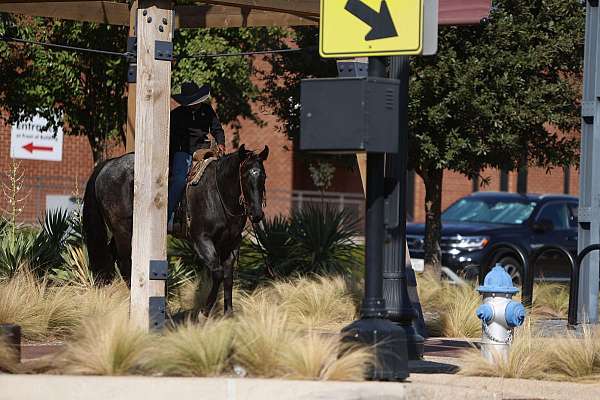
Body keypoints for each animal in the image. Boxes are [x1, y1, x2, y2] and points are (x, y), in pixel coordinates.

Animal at [81, 145, 268, 314]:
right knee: (124, 261)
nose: (257, 214)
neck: (217, 193)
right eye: (245, 175)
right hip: (122, 229)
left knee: (109, 257)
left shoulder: (232, 243)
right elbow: (217, 273)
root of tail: (109, 164)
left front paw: (228, 313)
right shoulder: (202, 241)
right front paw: (204, 311)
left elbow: (228, 276)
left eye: (263, 177)